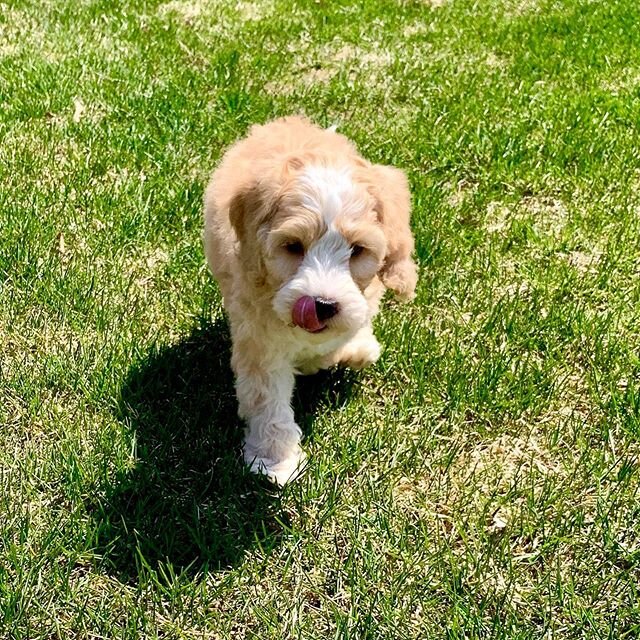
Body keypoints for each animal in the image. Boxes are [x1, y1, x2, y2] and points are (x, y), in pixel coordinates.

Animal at [202, 116, 418, 484]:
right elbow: (267, 397)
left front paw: (353, 349)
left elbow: (346, 332)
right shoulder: (259, 339)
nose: (322, 305)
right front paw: (276, 460)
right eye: (293, 246)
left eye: (357, 250)